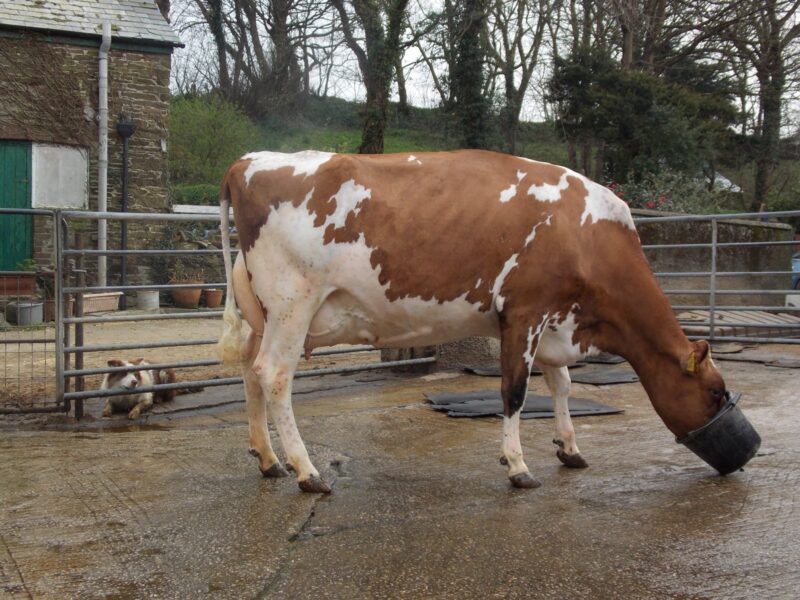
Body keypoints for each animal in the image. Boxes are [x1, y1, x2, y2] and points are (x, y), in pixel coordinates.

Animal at [217, 149, 747, 494]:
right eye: (716, 392)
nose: (747, 453)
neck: (586, 233)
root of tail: (247, 161)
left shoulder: (554, 321)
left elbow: (562, 385)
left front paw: (570, 449)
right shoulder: (525, 312)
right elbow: (515, 391)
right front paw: (517, 465)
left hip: (262, 313)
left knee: (249, 372)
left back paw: (269, 461)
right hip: (294, 303)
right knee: (274, 375)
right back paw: (307, 471)